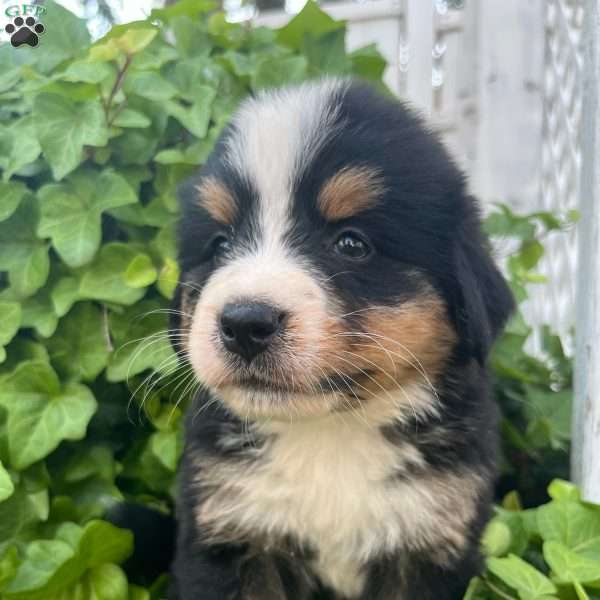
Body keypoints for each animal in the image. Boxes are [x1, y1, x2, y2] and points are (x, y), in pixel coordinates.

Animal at [166, 79, 512, 600]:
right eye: (220, 244)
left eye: (352, 244)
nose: (244, 322)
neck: (330, 433)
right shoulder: (234, 535)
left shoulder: (428, 543)